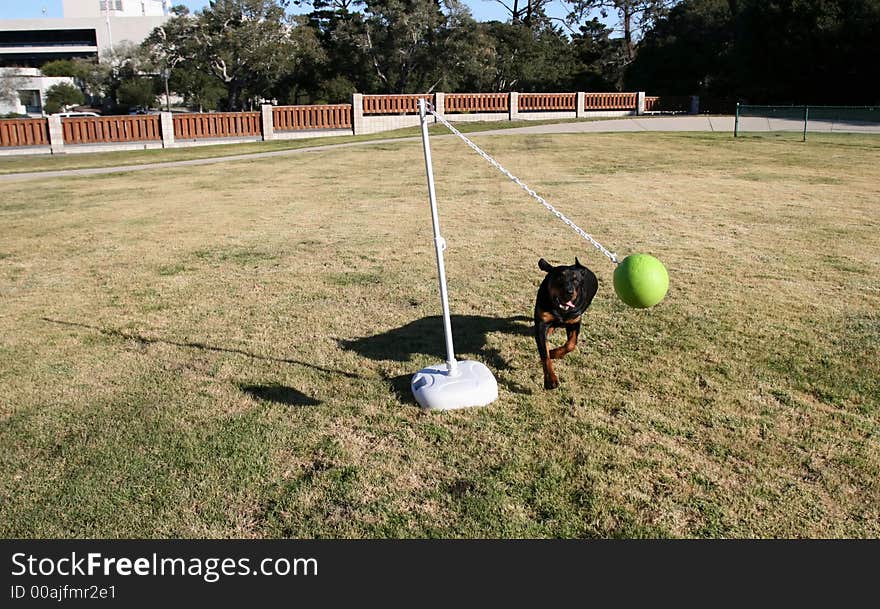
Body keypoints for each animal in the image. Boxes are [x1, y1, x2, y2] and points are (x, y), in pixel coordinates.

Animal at [528, 256, 600, 390]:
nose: (569, 291)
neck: (561, 310)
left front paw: (554, 353)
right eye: (560, 277)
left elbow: (571, 344)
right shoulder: (542, 322)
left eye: (576, 280)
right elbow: (544, 353)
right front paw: (550, 379)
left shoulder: (575, 322)